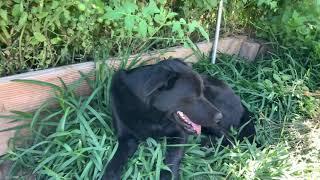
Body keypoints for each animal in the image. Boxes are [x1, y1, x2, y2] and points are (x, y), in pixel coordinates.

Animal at [102, 58, 255, 179]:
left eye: (202, 92)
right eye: (194, 97)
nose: (219, 116)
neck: (151, 113)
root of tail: (241, 104)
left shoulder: (179, 133)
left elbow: (171, 161)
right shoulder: (126, 139)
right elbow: (114, 162)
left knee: (229, 139)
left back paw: (207, 145)